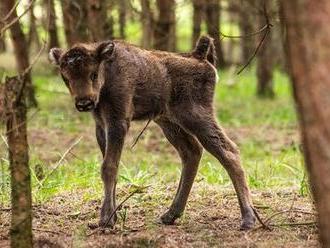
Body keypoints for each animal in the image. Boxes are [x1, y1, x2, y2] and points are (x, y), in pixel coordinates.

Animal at [49, 36, 255, 231]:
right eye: (66, 78)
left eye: (93, 73)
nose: (84, 103)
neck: (107, 72)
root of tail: (199, 56)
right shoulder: (101, 125)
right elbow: (111, 165)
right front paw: (111, 218)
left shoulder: (118, 121)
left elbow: (108, 167)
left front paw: (106, 220)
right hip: (168, 122)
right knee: (192, 152)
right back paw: (170, 215)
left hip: (195, 115)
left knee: (228, 151)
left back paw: (248, 219)